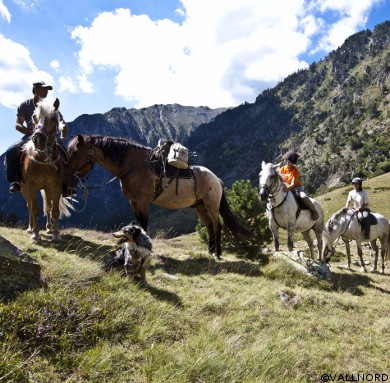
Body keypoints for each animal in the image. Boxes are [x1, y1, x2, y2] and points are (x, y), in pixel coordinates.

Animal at [20, 99, 71, 243]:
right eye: (33, 117)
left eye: (54, 118)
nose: (38, 138)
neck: (43, 160)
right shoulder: (31, 186)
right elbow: (35, 210)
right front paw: (35, 234)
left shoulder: (55, 186)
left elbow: (54, 210)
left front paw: (56, 234)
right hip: (24, 189)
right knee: (29, 206)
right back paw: (30, 228)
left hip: (47, 190)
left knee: (48, 206)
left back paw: (49, 228)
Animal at [66, 134, 250, 258]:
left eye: (75, 152)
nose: (69, 179)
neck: (133, 166)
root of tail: (217, 179)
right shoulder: (133, 202)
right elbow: (138, 224)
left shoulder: (143, 202)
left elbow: (143, 225)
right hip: (200, 207)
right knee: (210, 227)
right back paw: (209, 252)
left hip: (212, 206)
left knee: (217, 226)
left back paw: (217, 254)